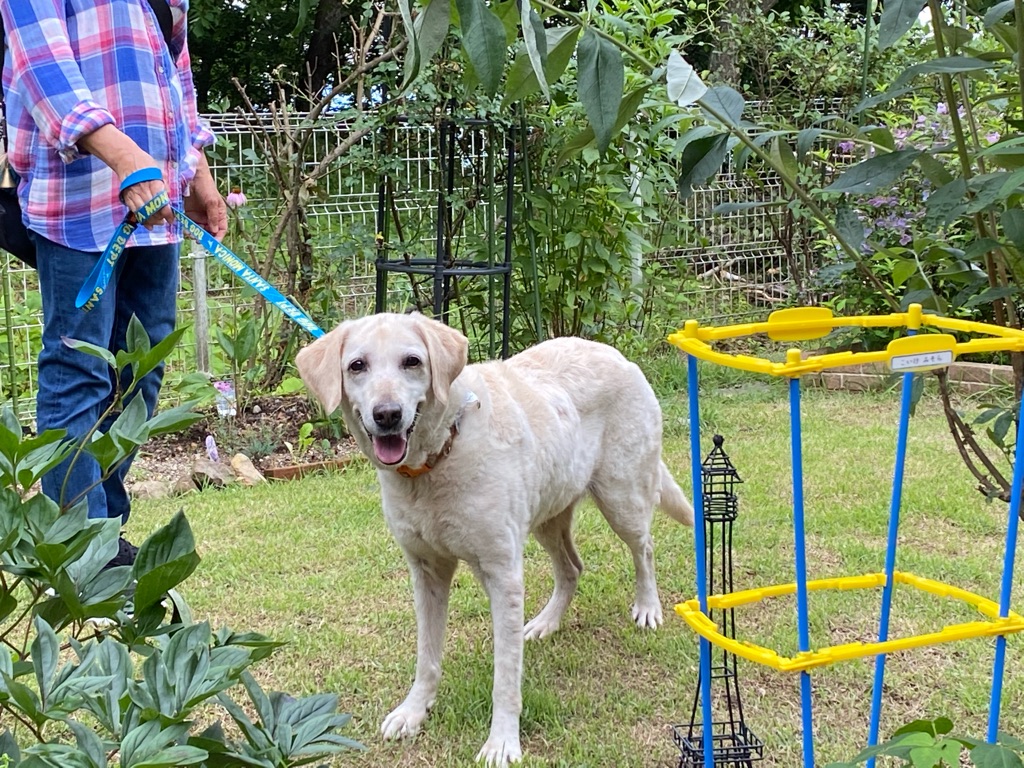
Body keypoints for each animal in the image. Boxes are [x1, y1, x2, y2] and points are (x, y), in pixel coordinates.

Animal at [296, 312, 693, 766]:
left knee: (644, 549)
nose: (387, 414)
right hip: (547, 515)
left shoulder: (503, 574)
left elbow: (505, 676)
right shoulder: (427, 574)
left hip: (621, 497)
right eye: (357, 366)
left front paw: (502, 741)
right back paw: (545, 623)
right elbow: (426, 658)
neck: (435, 461)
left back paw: (647, 608)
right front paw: (414, 711)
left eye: (412, 361)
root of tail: (616, 354)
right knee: (572, 568)